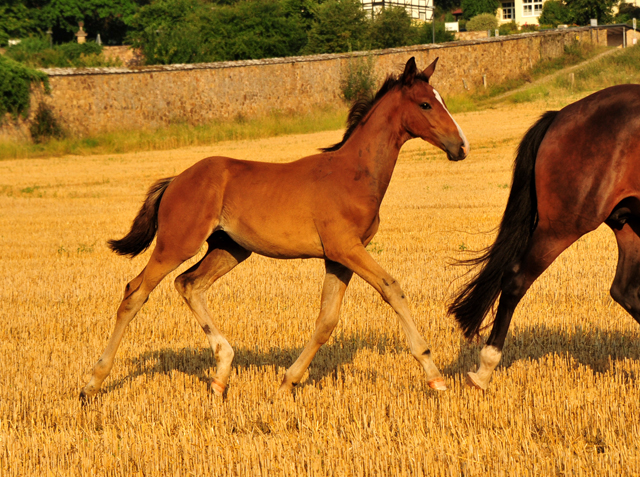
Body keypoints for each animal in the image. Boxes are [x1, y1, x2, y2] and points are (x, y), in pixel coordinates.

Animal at [80, 55, 470, 400]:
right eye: (425, 104)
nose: (461, 146)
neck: (354, 174)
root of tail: (176, 180)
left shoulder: (338, 258)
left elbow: (326, 321)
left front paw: (287, 383)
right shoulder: (347, 248)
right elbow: (392, 289)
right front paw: (434, 374)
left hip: (229, 249)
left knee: (188, 284)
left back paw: (221, 375)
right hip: (177, 244)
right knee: (135, 292)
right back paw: (92, 383)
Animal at [450, 84, 640, 390]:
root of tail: (560, 115)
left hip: (627, 226)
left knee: (624, 290)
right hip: (564, 224)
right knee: (516, 280)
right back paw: (484, 369)